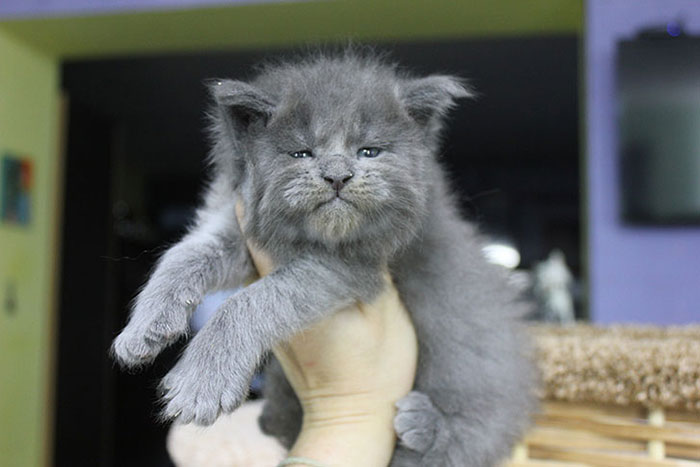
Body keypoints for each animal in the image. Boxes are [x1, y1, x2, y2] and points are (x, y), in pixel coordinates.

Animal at [110, 52, 536, 467]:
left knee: (468, 440)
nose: (337, 175)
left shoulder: (353, 267)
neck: (315, 237)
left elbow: (250, 301)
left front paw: (202, 382)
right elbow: (183, 255)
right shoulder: (243, 228)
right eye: (301, 153)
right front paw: (141, 329)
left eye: (369, 150)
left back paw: (424, 426)